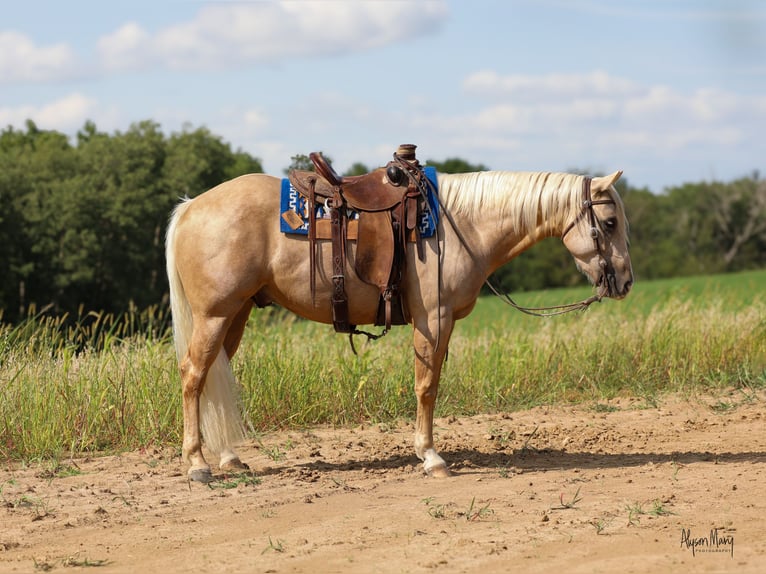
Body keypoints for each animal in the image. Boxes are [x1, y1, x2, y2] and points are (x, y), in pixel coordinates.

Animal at [165, 169, 632, 484]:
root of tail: (190, 207)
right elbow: (427, 386)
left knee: (215, 377)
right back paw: (198, 465)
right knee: (194, 375)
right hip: (215, 315)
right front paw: (431, 457)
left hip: (236, 315)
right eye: (609, 223)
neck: (461, 226)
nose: (625, 282)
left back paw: (227, 457)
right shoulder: (434, 319)